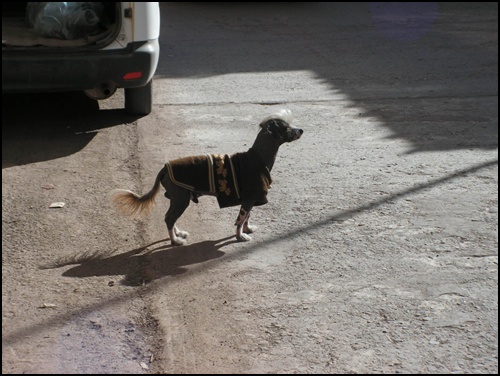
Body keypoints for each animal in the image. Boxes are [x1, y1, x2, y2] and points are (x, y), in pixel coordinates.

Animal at [111, 109, 302, 244]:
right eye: (286, 128)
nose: (301, 130)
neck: (258, 157)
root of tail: (164, 168)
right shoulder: (249, 198)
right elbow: (240, 220)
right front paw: (240, 236)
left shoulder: (251, 199)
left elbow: (247, 217)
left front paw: (247, 229)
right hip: (181, 199)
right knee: (169, 218)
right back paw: (175, 241)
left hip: (177, 199)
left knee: (170, 217)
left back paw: (178, 233)